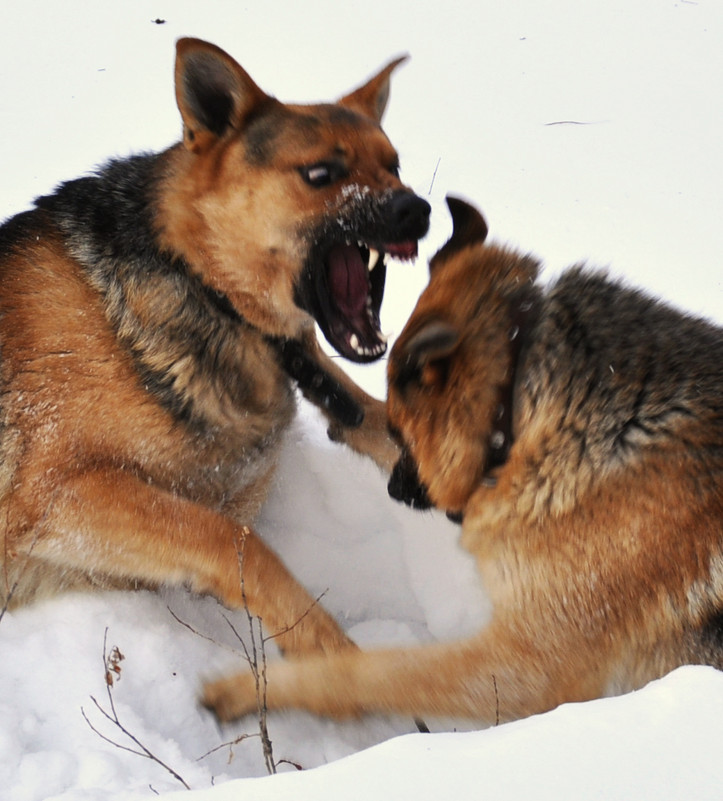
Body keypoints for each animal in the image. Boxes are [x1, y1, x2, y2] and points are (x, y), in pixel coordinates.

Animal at [0, 37, 430, 656]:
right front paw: (334, 658)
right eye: (320, 173)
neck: (201, 287)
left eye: (393, 165)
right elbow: (230, 539)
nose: (417, 209)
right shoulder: (58, 490)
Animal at [202, 198, 723, 724]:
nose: (393, 490)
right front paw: (313, 373)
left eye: (406, 435)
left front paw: (246, 688)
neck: (518, 413)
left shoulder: (522, 667)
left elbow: (374, 672)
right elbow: (366, 408)